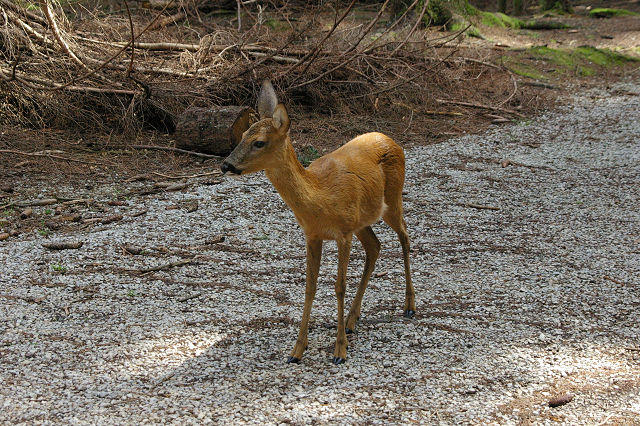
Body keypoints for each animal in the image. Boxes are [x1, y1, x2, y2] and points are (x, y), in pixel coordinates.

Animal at [222, 80, 418, 366]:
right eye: (243, 134)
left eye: (259, 142)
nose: (226, 165)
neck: (319, 199)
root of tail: (393, 140)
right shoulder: (312, 234)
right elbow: (310, 286)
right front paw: (297, 350)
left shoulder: (343, 233)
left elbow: (339, 287)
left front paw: (339, 351)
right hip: (362, 221)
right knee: (375, 246)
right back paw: (351, 319)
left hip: (392, 198)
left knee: (404, 235)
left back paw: (409, 306)